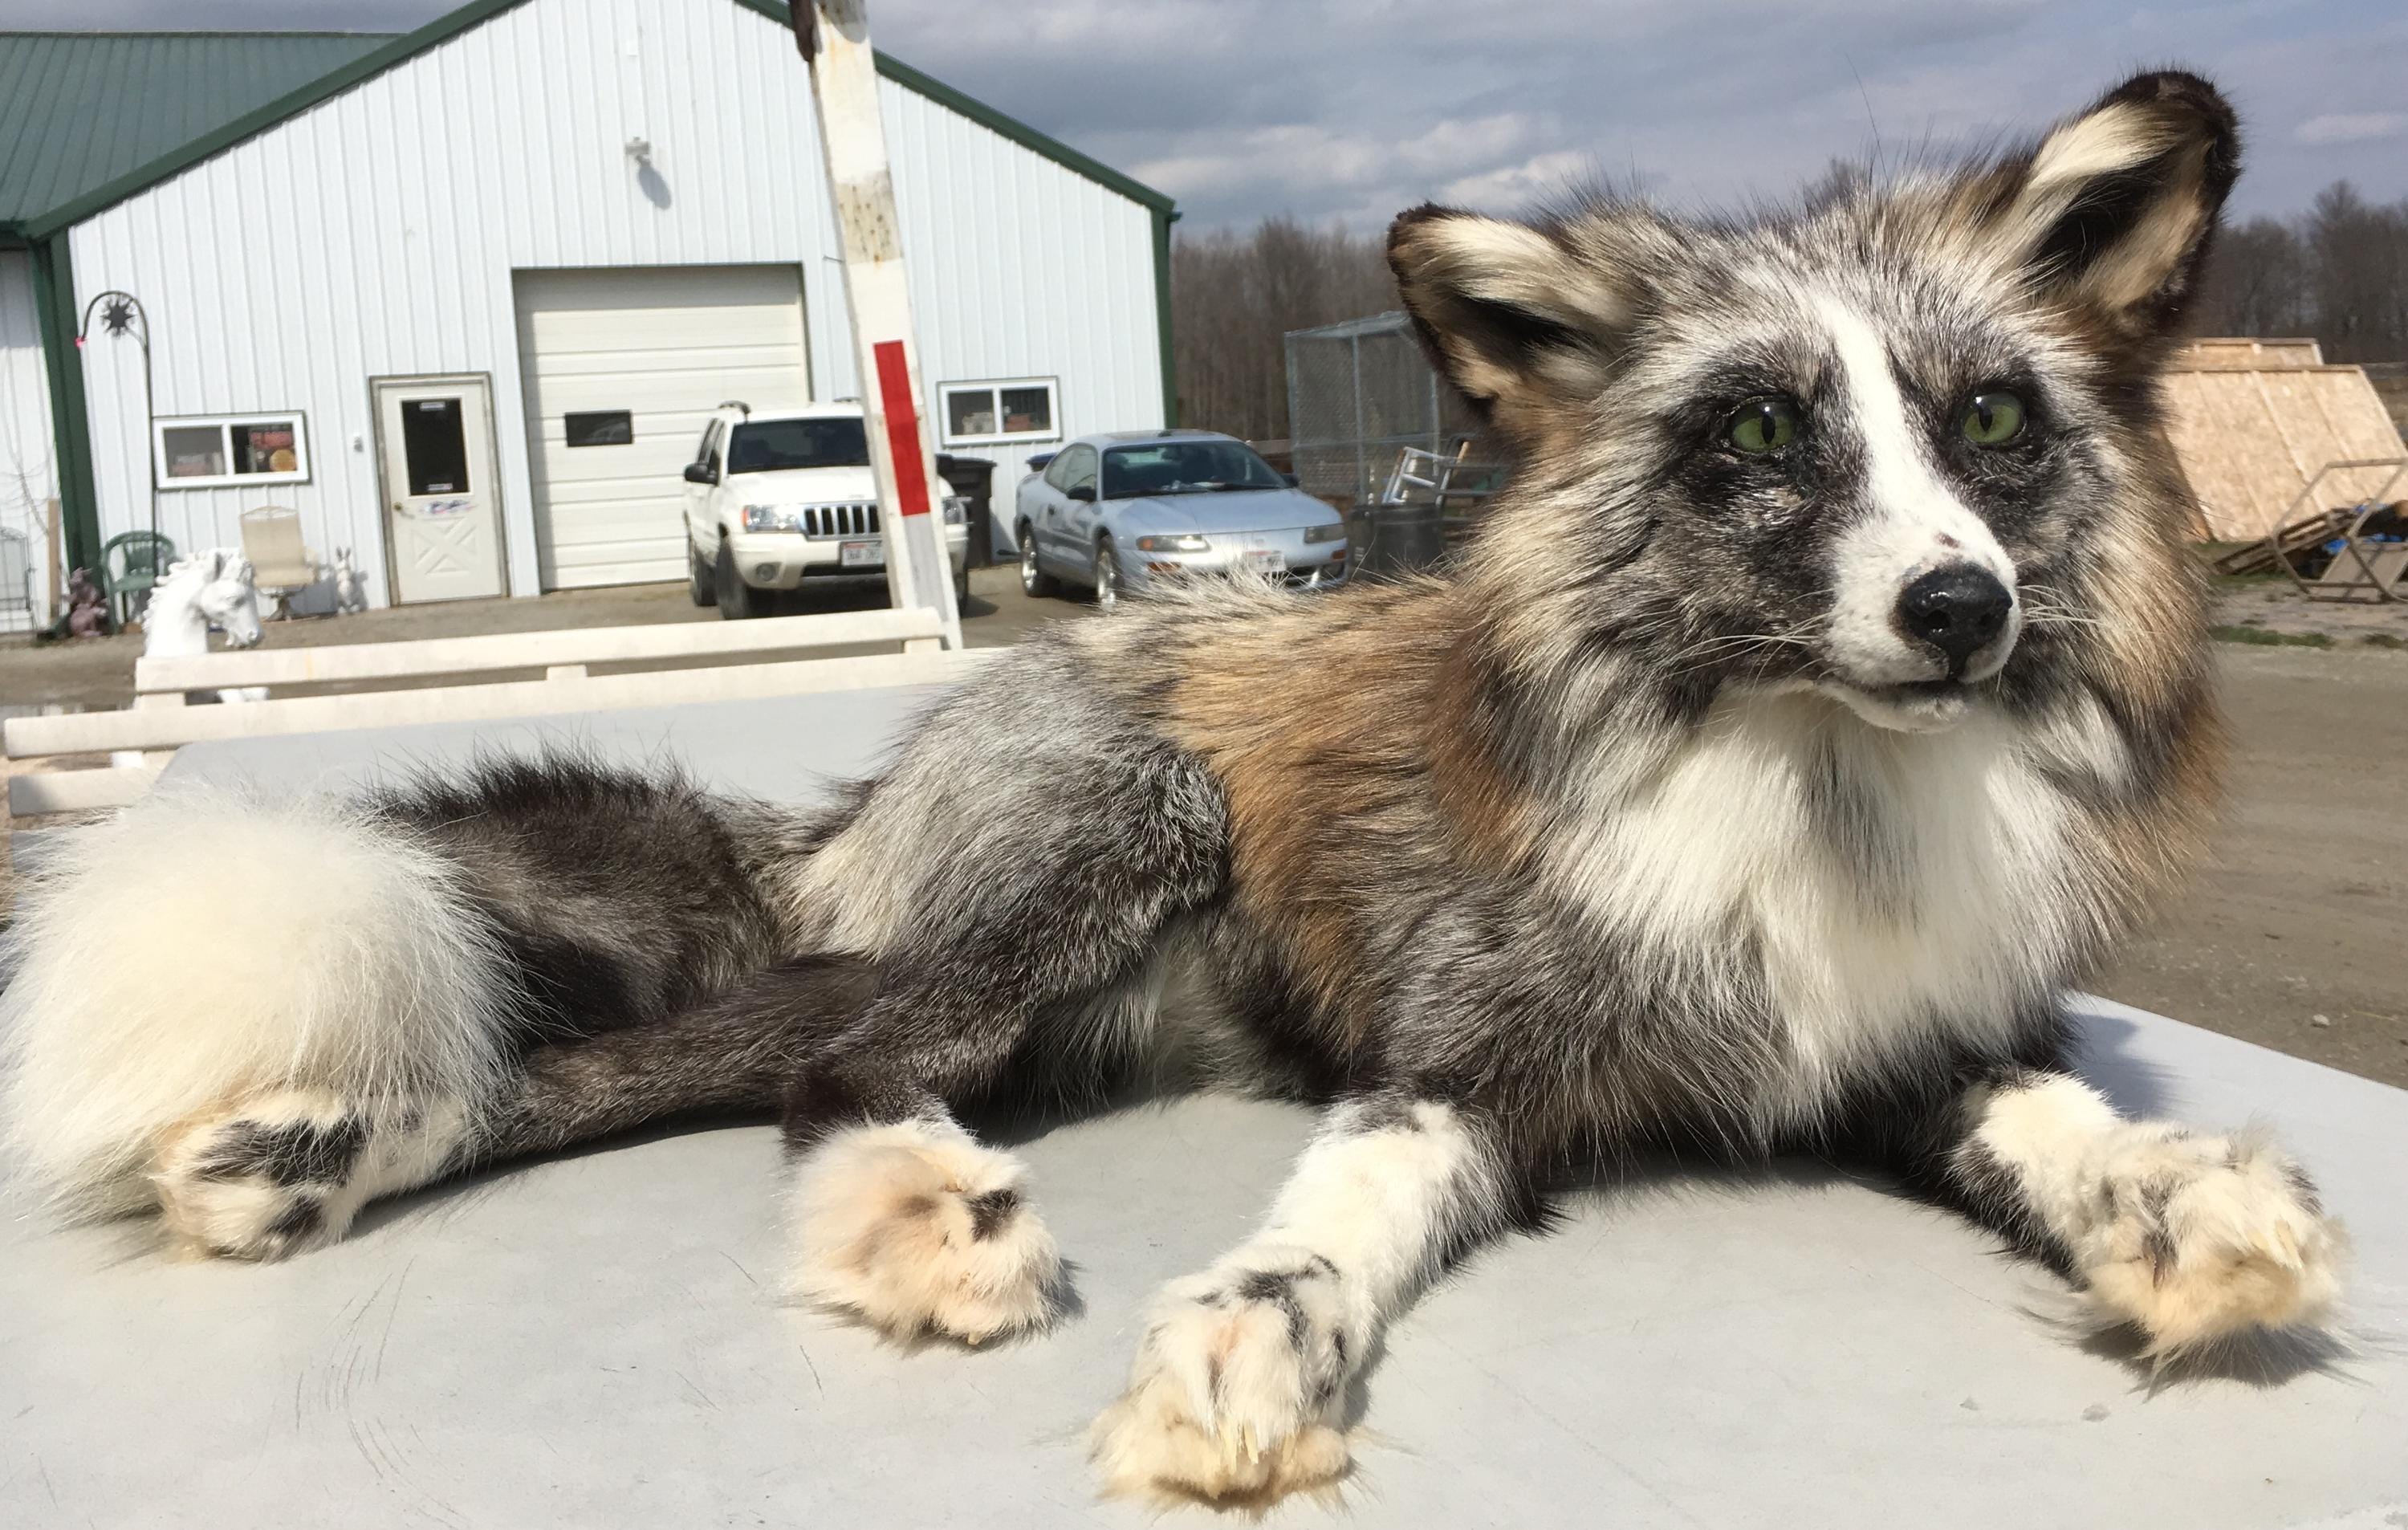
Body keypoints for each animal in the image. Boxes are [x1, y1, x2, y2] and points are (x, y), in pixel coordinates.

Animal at [0, 69, 2343, 1509]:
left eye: (1989, 426)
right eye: (1763, 439)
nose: (1958, 610)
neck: (1802, 793)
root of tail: (886, 776)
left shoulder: (1902, 1037)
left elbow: (2051, 1117)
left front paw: (2185, 1201)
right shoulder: (1450, 1062)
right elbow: (1326, 1231)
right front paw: (1239, 1358)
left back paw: (302, 1159)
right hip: (1134, 830)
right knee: (792, 1062)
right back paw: (878, 1208)